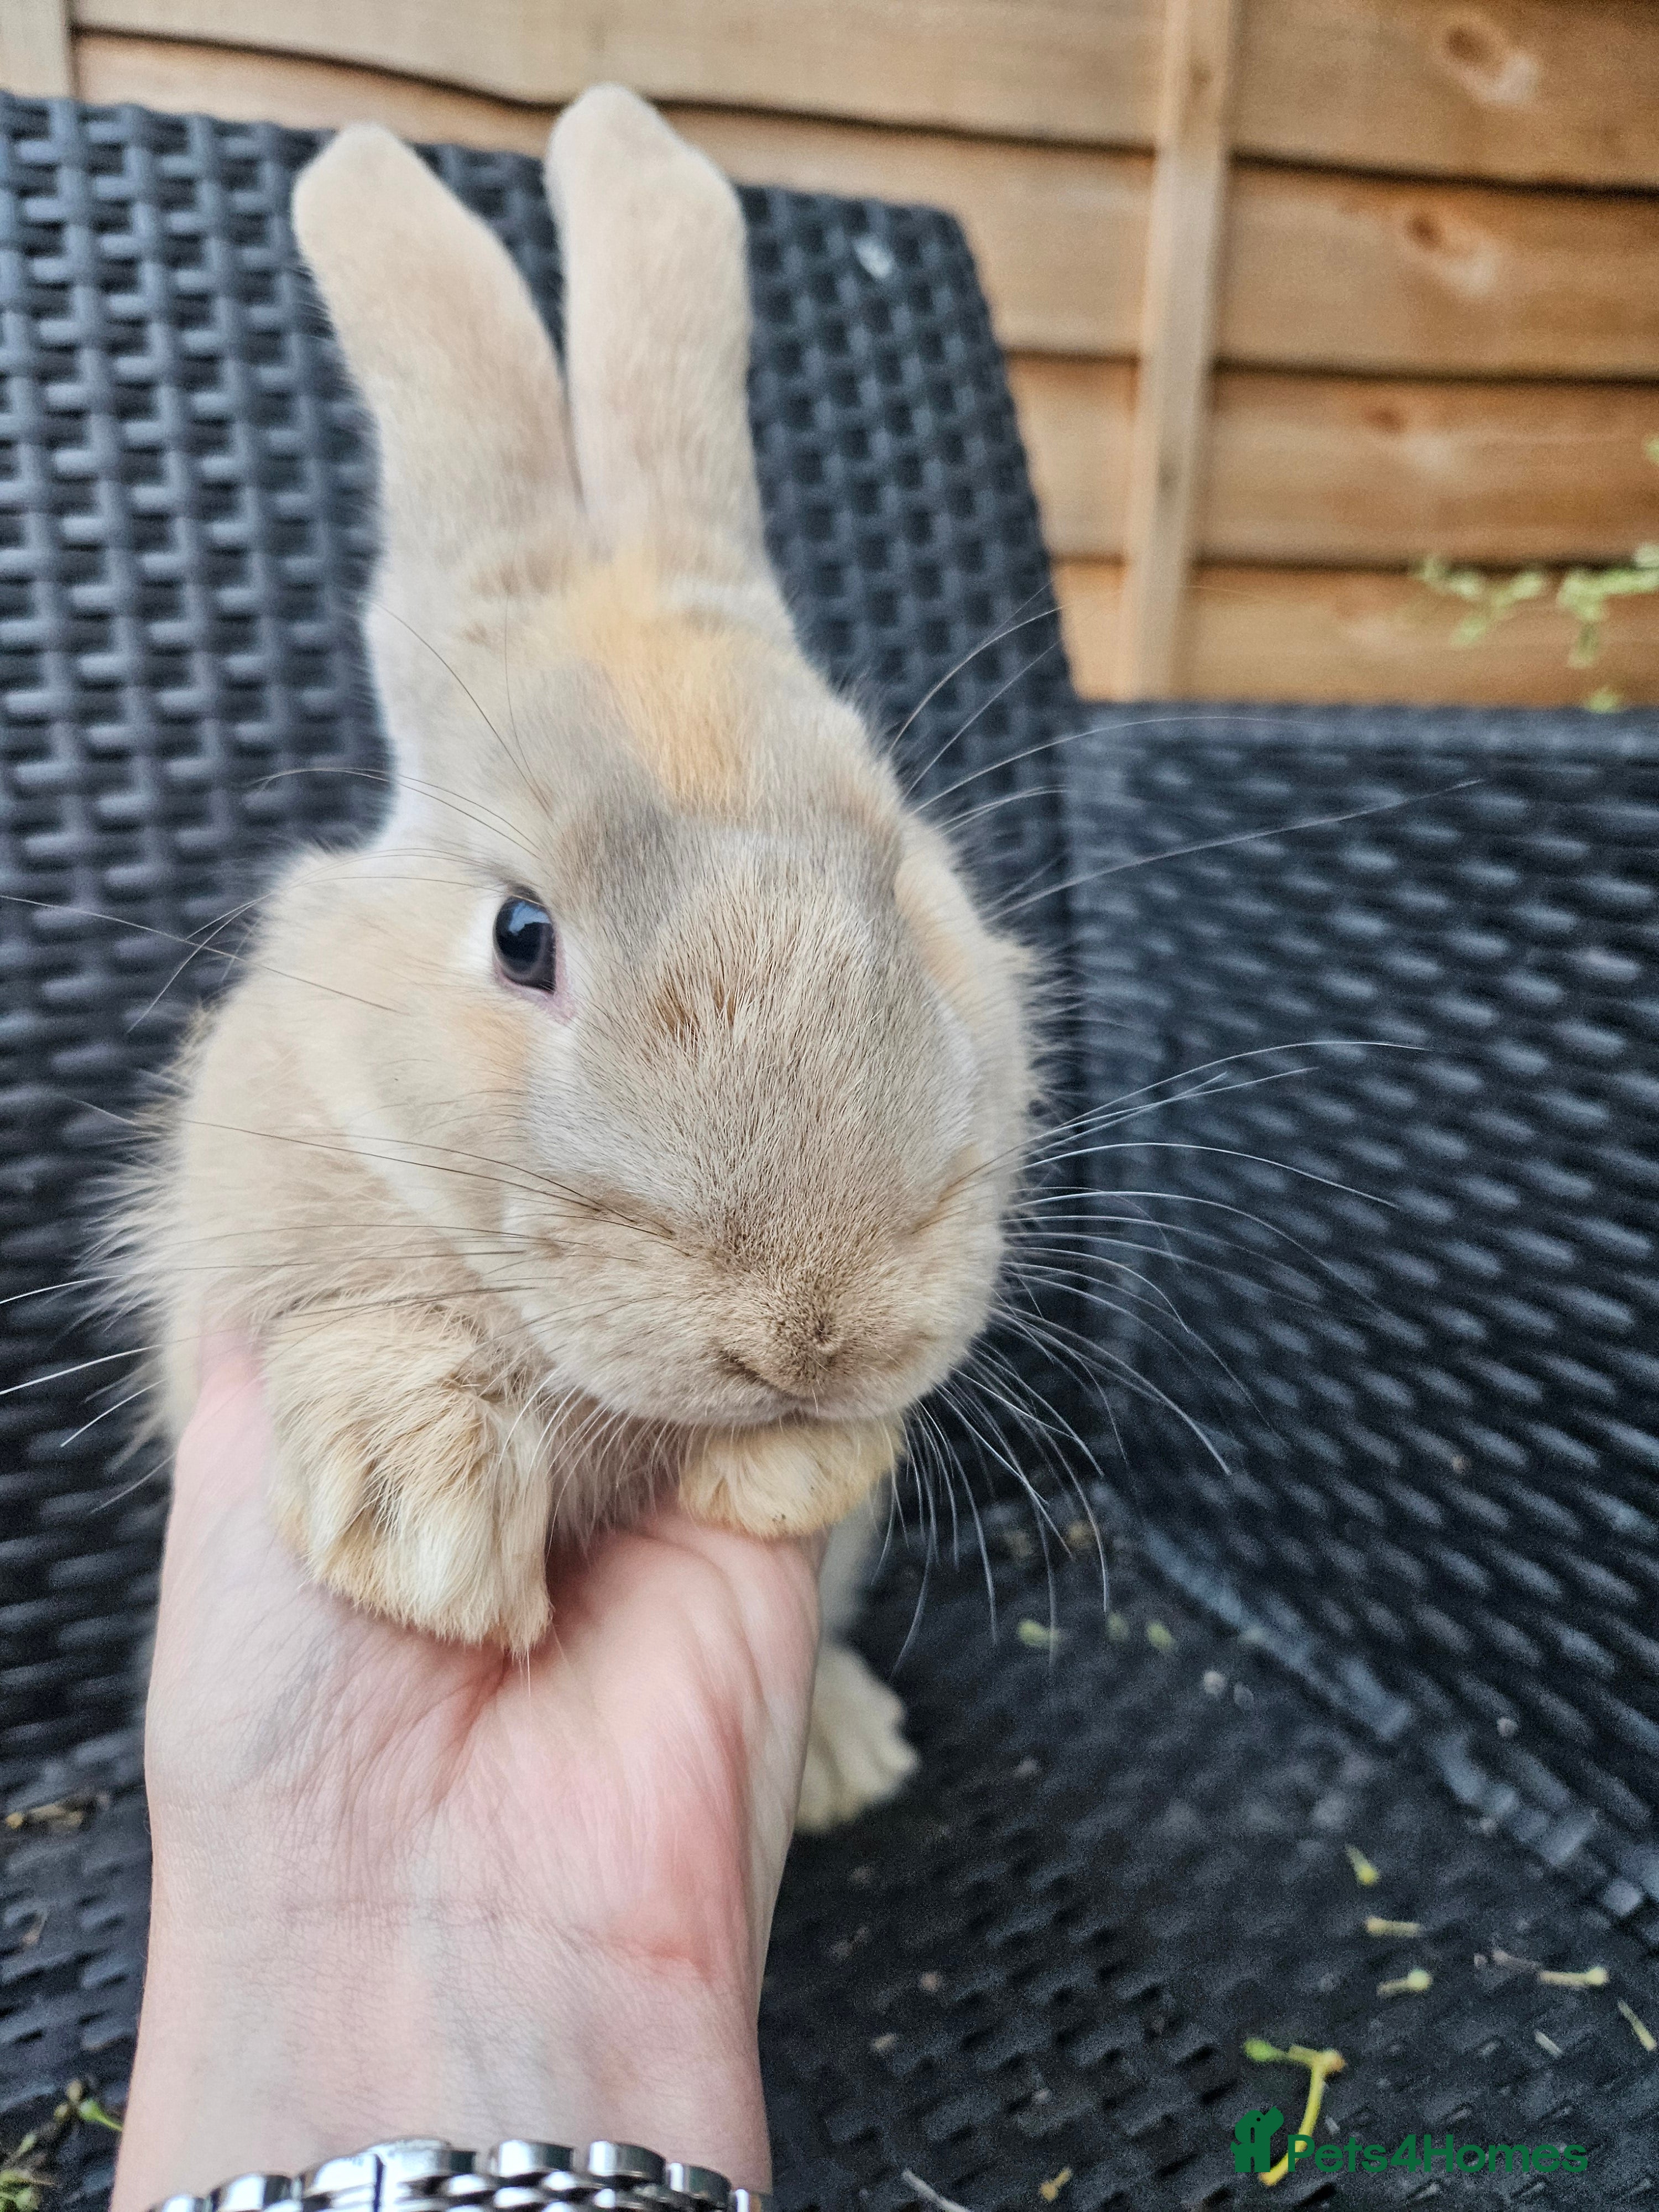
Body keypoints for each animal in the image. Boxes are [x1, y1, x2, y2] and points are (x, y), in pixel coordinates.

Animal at [116, 86, 1034, 1830]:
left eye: (897, 869)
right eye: (520, 936)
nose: (809, 1331)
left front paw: (796, 1465)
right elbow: (374, 1319)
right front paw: (420, 1527)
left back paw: (840, 1762)